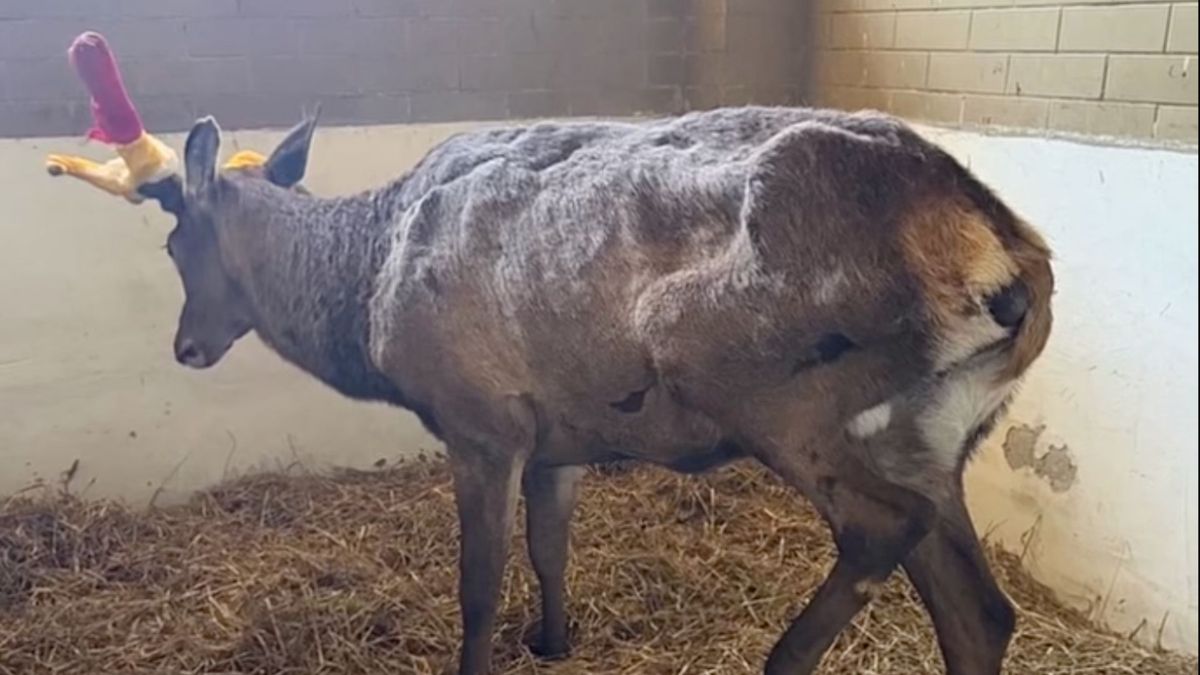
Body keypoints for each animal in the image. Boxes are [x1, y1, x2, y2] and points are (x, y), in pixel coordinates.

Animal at [53, 102, 1053, 675]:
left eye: (175, 242)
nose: (186, 346)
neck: (367, 298)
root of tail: (1008, 260)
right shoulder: (562, 431)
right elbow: (549, 549)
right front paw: (554, 640)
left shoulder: (480, 419)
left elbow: (479, 581)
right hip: (933, 432)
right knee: (980, 611)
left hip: (771, 388)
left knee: (882, 526)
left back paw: (781, 659)